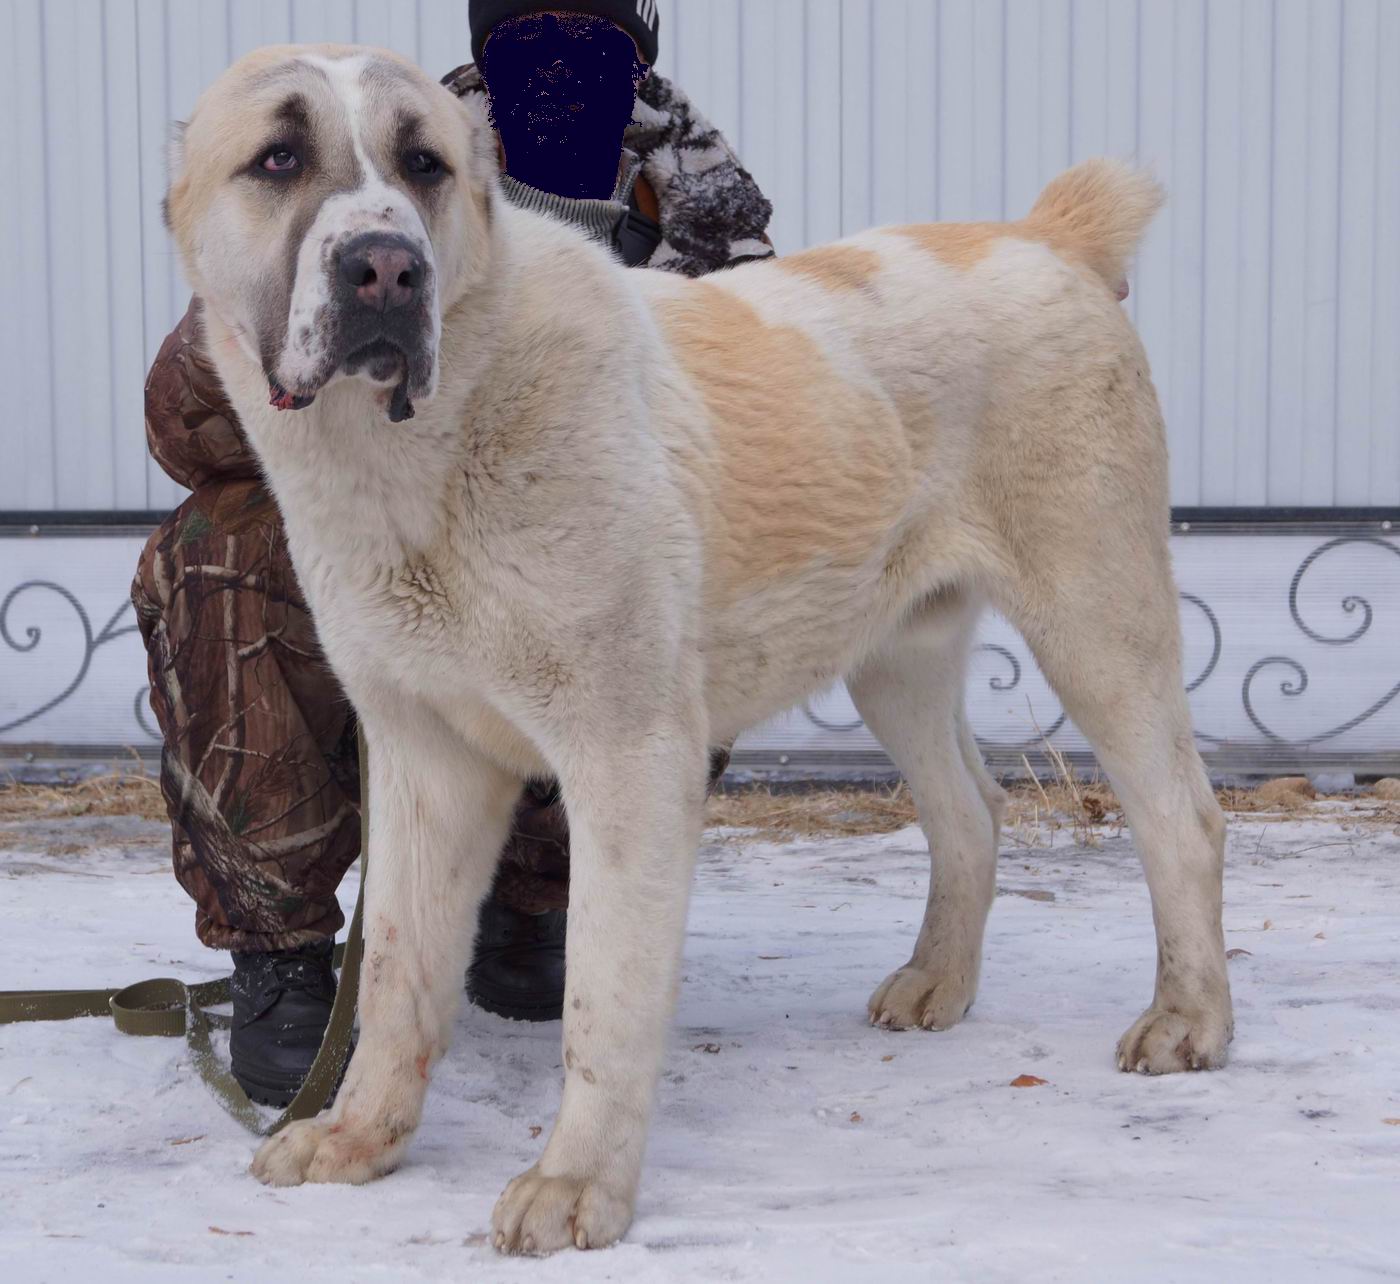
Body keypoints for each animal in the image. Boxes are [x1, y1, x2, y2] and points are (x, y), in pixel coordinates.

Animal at [163, 47, 1232, 1254]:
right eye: (278, 159)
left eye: (423, 164)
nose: (386, 268)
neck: (416, 456)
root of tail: (1047, 234)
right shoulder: (424, 756)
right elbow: (395, 971)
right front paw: (359, 1141)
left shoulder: (629, 757)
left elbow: (602, 997)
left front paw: (577, 1184)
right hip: (893, 659)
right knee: (972, 811)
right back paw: (937, 985)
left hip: (1094, 619)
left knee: (1181, 818)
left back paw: (1187, 1020)